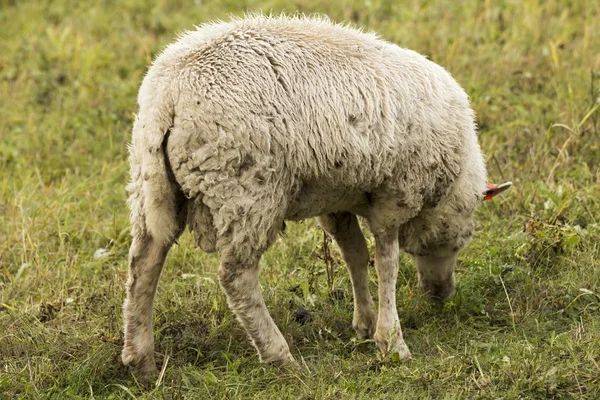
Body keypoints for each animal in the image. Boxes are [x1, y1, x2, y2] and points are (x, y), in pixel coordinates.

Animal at [120, 14, 488, 380]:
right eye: (460, 241)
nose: (441, 295)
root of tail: (168, 93)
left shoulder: (337, 199)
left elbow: (355, 254)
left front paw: (365, 323)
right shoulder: (396, 195)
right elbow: (387, 263)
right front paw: (391, 341)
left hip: (152, 183)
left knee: (144, 262)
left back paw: (142, 360)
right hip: (245, 188)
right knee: (236, 276)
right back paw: (278, 354)